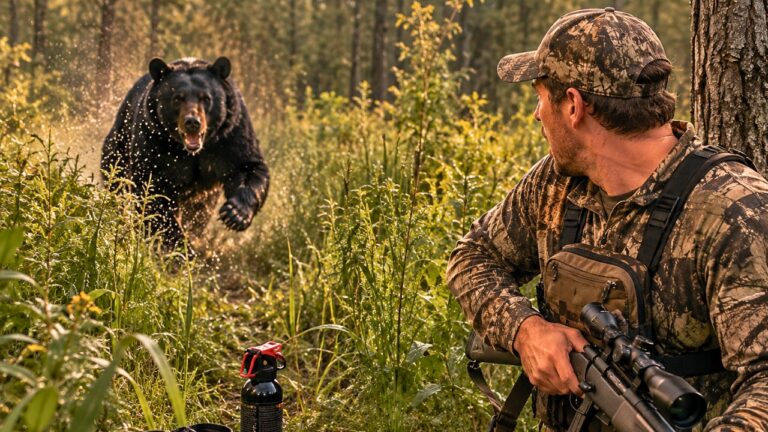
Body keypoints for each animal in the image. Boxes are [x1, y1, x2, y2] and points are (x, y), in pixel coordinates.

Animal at [101, 57, 269, 249]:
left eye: (205, 98)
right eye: (177, 98)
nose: (192, 122)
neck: (192, 151)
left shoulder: (231, 134)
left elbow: (248, 166)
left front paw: (235, 214)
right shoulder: (155, 142)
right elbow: (153, 192)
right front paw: (181, 246)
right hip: (119, 143)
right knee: (116, 180)